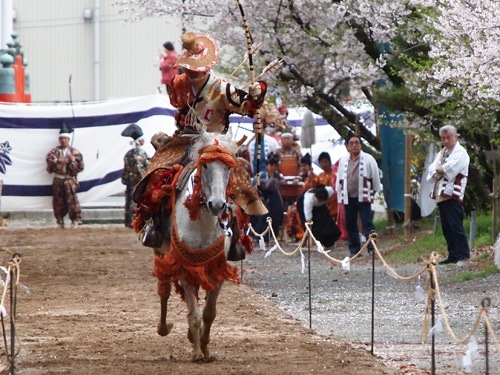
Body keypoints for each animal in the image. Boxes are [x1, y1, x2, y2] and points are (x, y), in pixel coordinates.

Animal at [153, 129, 243, 362]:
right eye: (206, 166)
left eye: (228, 167)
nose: (217, 204)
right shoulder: (186, 267)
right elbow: (194, 314)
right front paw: (196, 353)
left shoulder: (218, 268)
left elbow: (209, 313)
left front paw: (205, 347)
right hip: (161, 253)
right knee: (164, 290)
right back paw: (164, 327)